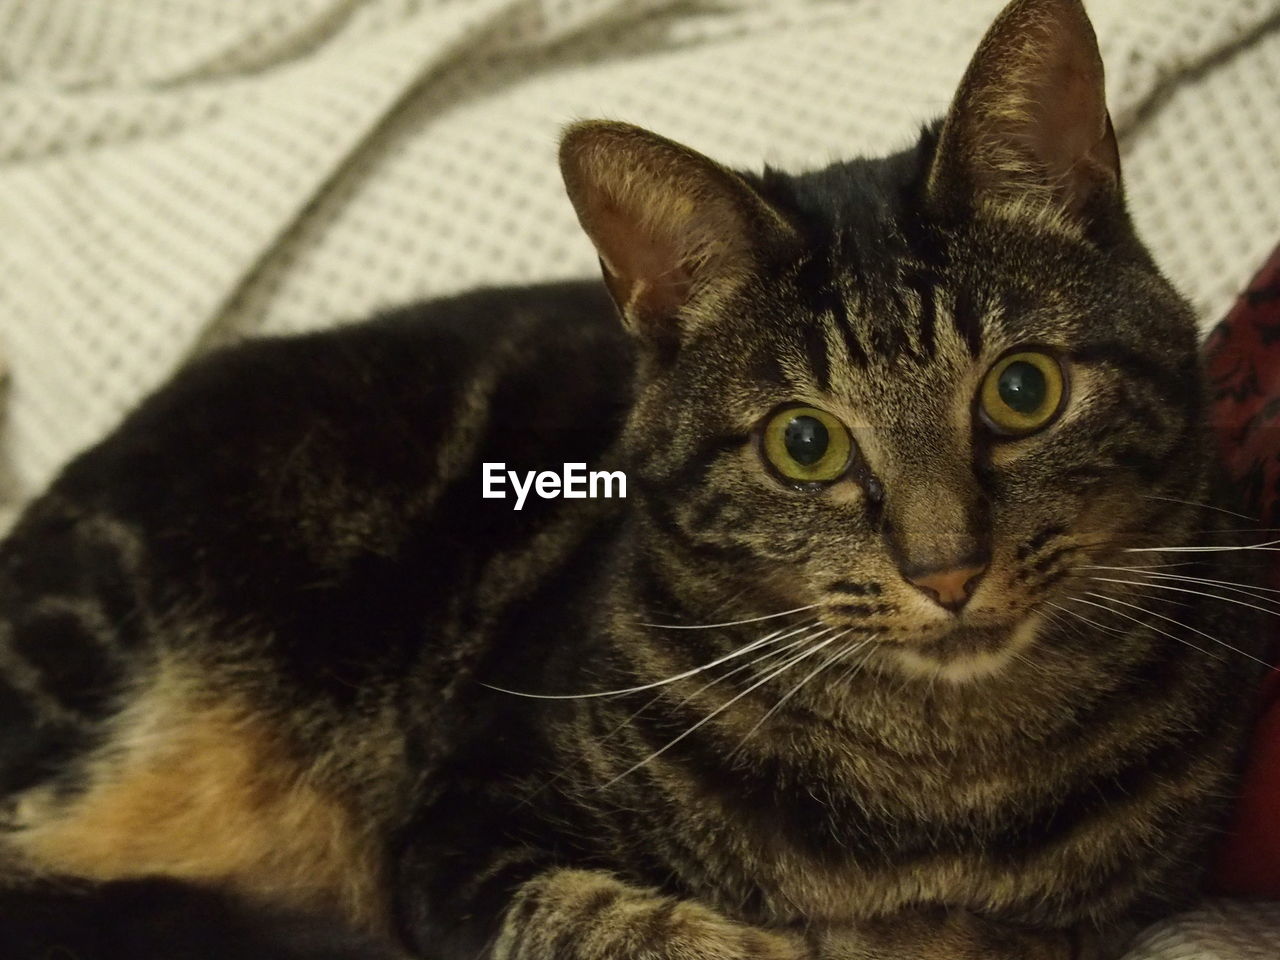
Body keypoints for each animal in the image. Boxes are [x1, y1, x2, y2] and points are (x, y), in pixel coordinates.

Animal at [0, 0, 1269, 957]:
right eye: (803, 445)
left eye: (1021, 390)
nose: (946, 570)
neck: (943, 780)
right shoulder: (458, 829)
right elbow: (608, 919)